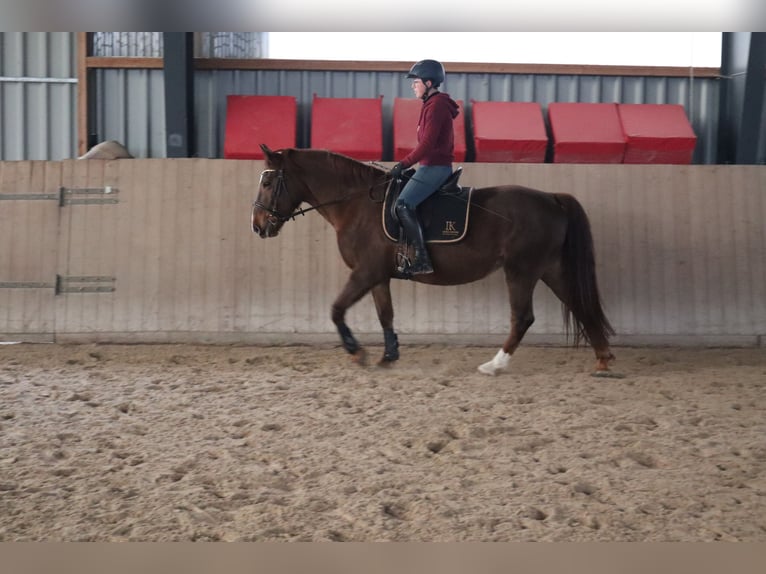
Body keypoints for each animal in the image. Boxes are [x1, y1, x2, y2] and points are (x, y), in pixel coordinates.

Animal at [251, 144, 615, 375]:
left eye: (268, 181)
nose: (257, 226)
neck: (357, 205)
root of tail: (552, 199)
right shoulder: (378, 275)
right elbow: (385, 315)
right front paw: (388, 356)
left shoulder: (364, 273)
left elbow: (336, 310)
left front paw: (358, 353)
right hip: (549, 269)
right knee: (580, 305)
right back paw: (602, 360)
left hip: (521, 271)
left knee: (523, 317)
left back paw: (494, 365)